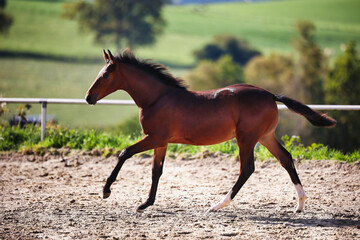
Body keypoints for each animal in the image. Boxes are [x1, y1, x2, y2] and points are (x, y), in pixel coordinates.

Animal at [86, 48, 336, 212]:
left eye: (106, 74)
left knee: (247, 168)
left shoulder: (154, 137)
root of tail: (270, 95)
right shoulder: (162, 141)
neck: (157, 98)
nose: (89, 97)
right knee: (286, 159)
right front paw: (145, 204)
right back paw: (300, 205)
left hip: (246, 138)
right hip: (265, 136)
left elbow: (124, 153)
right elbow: (156, 171)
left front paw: (106, 191)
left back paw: (218, 205)